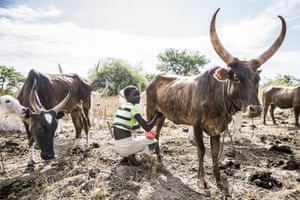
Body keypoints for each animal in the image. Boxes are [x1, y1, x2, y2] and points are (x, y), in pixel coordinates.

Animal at [145, 7, 286, 189]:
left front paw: (219, 180)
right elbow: (202, 150)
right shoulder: (197, 125)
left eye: (257, 79)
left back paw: (160, 161)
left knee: (156, 134)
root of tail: (153, 79)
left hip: (161, 115)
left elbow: (214, 152)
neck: (218, 100)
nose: (256, 109)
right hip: (150, 111)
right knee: (149, 132)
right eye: (236, 78)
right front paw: (202, 180)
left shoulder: (217, 129)